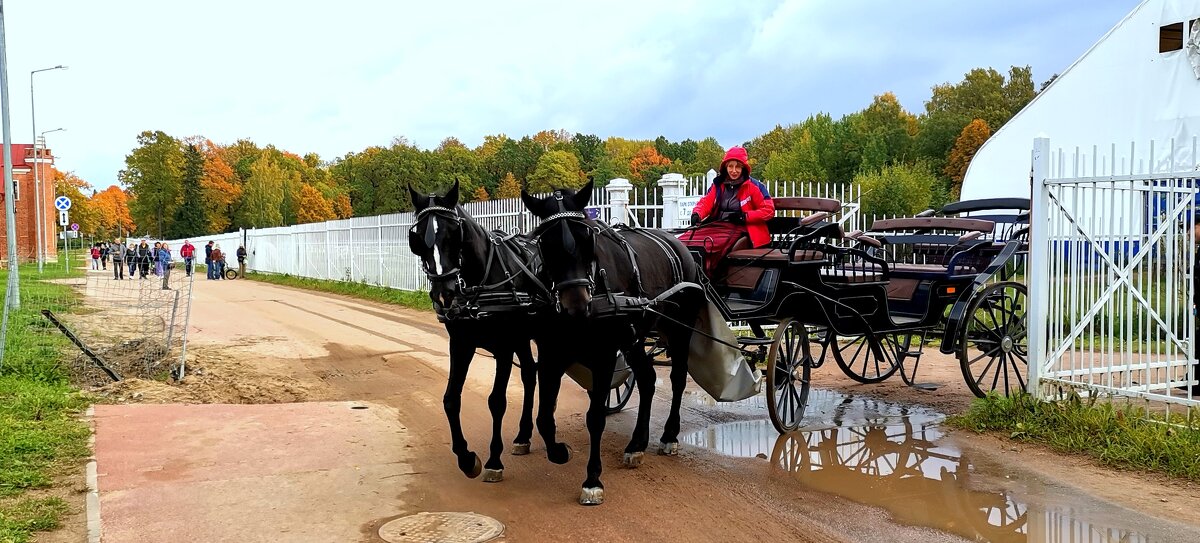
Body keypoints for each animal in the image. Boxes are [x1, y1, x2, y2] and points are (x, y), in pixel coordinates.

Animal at [410, 182, 547, 482]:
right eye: (418, 237)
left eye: (454, 233)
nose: (444, 294)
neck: (481, 282)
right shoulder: (461, 344)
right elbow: (451, 399)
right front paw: (466, 457)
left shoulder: (504, 346)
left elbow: (497, 401)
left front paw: (494, 460)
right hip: (522, 338)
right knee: (530, 374)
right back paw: (523, 435)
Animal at [523, 181, 705, 504]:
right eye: (546, 243)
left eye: (587, 238)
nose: (577, 306)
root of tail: (680, 245)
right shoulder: (550, 354)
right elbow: (544, 416)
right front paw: (558, 452)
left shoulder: (604, 355)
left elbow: (595, 417)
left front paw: (592, 480)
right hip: (634, 338)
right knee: (647, 378)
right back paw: (637, 444)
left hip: (678, 331)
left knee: (678, 378)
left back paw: (669, 435)